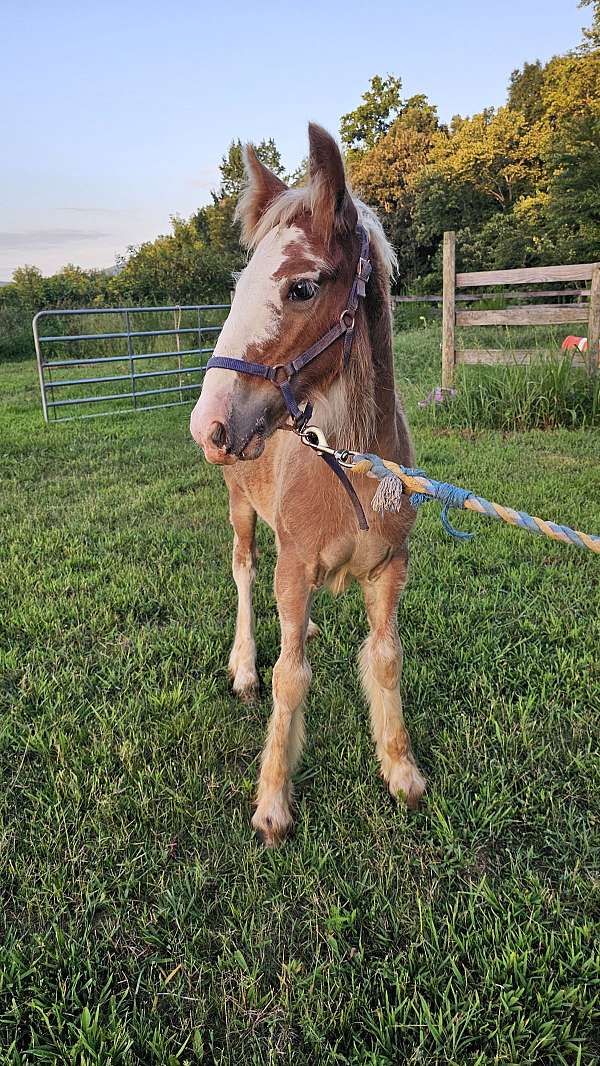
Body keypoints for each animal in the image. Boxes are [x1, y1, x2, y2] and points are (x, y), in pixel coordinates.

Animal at [190, 123, 426, 845]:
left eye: (301, 288)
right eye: (237, 288)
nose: (207, 424)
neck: (353, 467)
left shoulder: (390, 567)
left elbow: (385, 658)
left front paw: (401, 771)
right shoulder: (292, 565)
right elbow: (289, 679)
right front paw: (273, 802)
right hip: (239, 506)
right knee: (243, 572)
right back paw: (241, 665)